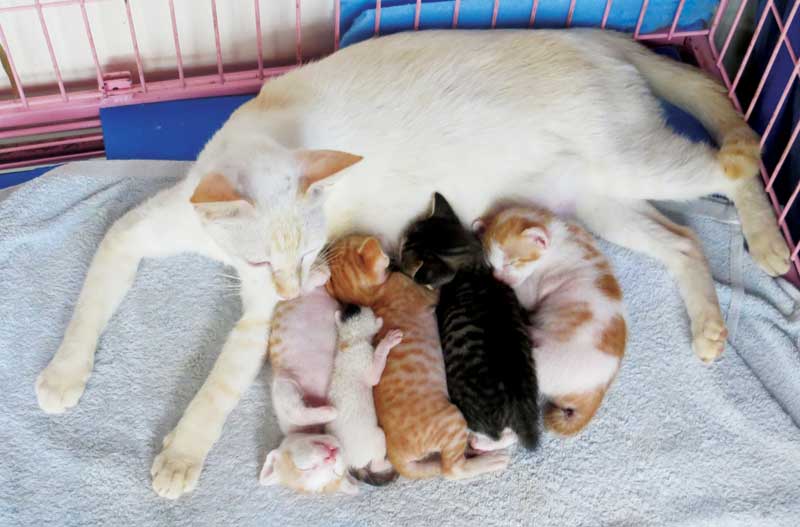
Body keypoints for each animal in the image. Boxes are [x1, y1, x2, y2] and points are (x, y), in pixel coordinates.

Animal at [324, 304, 400, 476]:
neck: (350, 340)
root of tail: (348, 463)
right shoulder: (366, 359)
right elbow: (374, 375)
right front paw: (386, 342)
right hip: (377, 436)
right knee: (375, 466)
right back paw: (386, 463)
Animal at [398, 192, 540, 448]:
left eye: (405, 248)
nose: (399, 242)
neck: (472, 263)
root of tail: (520, 410)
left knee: (497, 435)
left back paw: (477, 442)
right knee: (511, 436)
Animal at [482, 204, 624, 436]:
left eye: (512, 262)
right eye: (491, 264)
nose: (498, 278)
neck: (560, 236)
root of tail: (597, 392)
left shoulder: (533, 287)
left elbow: (524, 294)